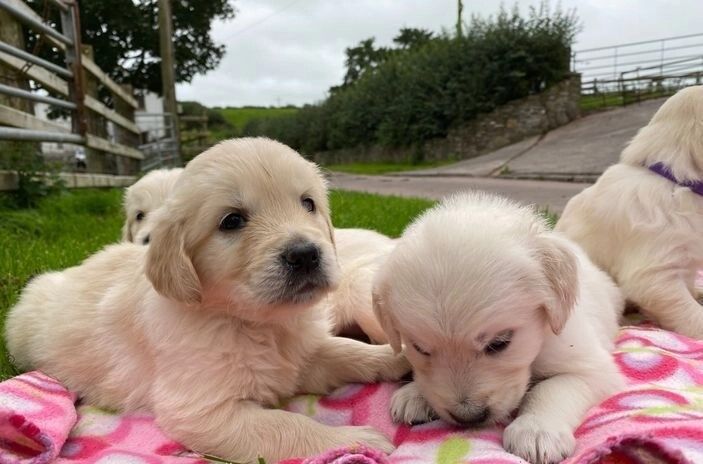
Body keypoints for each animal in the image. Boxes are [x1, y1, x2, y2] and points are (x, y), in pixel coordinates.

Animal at [5, 138, 410, 464]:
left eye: (308, 203)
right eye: (232, 221)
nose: (306, 254)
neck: (256, 322)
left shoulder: (303, 358)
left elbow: (345, 351)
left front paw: (396, 359)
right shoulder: (205, 411)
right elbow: (285, 424)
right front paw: (355, 440)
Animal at [374, 192, 628, 464]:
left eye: (499, 343)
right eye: (419, 348)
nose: (468, 417)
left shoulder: (591, 367)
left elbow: (552, 388)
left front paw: (536, 431)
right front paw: (414, 394)